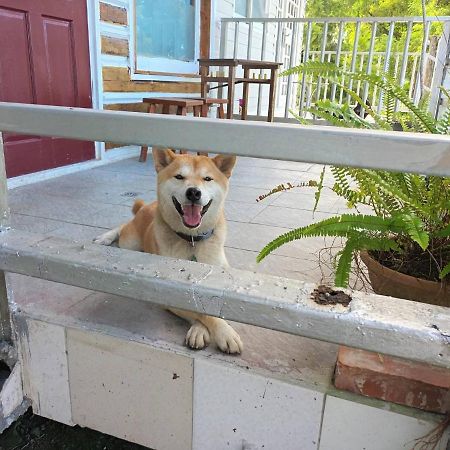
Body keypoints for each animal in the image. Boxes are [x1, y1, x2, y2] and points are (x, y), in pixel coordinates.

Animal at [93, 151, 244, 356]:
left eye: (207, 179)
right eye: (179, 177)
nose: (194, 192)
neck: (192, 240)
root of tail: (145, 206)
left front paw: (205, 330)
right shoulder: (169, 293)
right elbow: (200, 311)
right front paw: (220, 332)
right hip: (130, 243)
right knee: (123, 226)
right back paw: (105, 237)